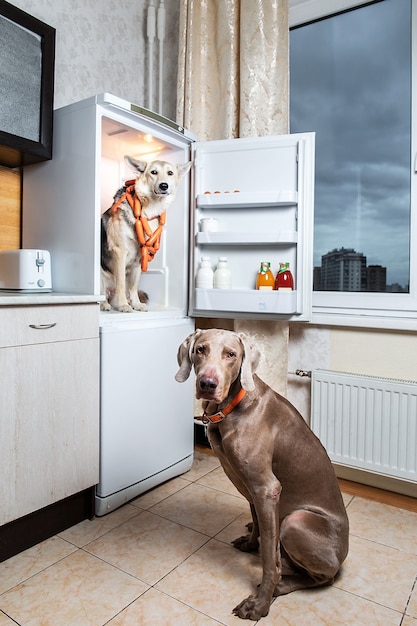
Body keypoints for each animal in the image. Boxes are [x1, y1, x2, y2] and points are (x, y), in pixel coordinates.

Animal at [101, 156, 192, 312]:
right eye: (153, 172)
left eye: (170, 173)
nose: (164, 186)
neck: (149, 209)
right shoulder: (120, 252)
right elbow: (121, 283)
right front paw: (123, 305)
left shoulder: (139, 259)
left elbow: (133, 286)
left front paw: (136, 304)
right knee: (104, 293)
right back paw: (105, 304)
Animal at [175, 326, 348, 620]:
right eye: (200, 350)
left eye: (231, 354)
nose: (207, 384)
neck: (232, 407)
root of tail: (343, 555)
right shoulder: (250, 487)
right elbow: (257, 520)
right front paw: (250, 543)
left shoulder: (266, 489)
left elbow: (269, 555)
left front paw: (259, 605)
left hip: (296, 521)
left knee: (323, 577)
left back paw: (281, 585)